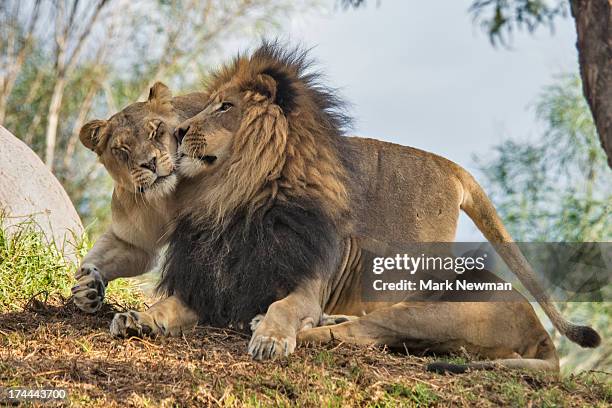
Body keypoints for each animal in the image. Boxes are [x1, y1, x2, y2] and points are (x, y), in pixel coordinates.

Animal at [71, 80, 206, 318]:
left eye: (156, 131)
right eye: (121, 148)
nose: (150, 163)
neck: (167, 198)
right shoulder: (132, 243)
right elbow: (97, 257)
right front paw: (86, 287)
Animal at [107, 42, 600, 372]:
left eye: (224, 107)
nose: (177, 132)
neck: (237, 199)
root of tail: (540, 333)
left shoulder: (304, 288)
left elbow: (285, 307)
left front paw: (270, 335)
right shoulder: (210, 290)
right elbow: (167, 306)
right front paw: (136, 317)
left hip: (427, 307)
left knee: (352, 333)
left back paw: (283, 325)